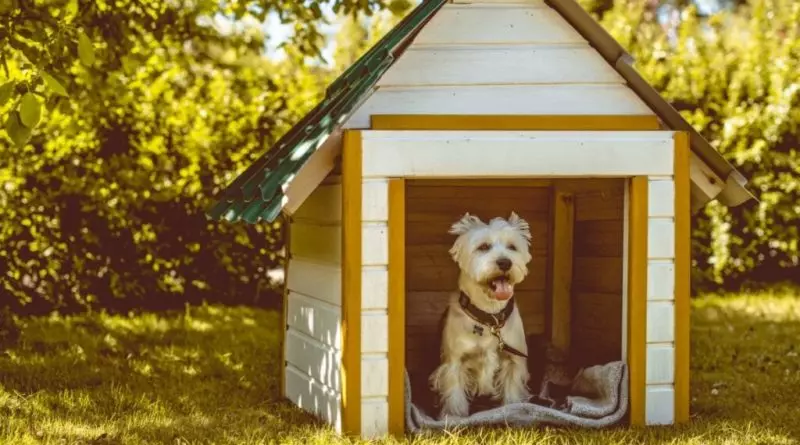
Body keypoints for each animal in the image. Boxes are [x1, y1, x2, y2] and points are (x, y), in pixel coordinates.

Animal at [428, 213, 536, 418]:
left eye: (512, 247)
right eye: (483, 247)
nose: (505, 262)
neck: (490, 317)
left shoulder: (514, 361)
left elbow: (512, 391)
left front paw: (514, 410)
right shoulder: (454, 361)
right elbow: (454, 393)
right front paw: (454, 416)